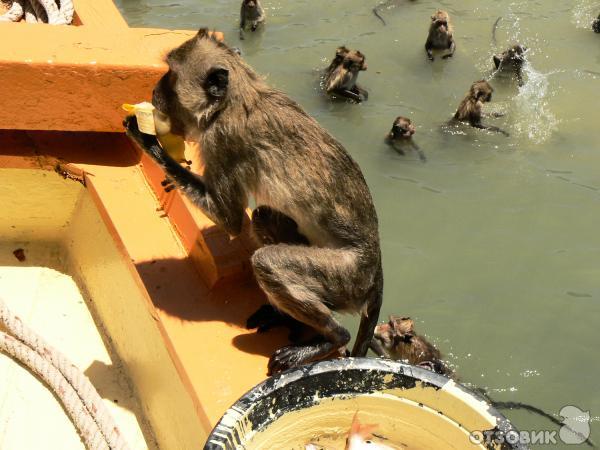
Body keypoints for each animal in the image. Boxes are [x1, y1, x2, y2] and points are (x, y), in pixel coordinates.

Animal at [124, 29, 382, 376]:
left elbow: (231, 219)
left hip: (347, 278)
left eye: (171, 74)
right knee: (263, 216)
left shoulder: (223, 141)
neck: (235, 98)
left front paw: (149, 141)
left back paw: (331, 338)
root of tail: (376, 270)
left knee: (268, 261)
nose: (154, 90)